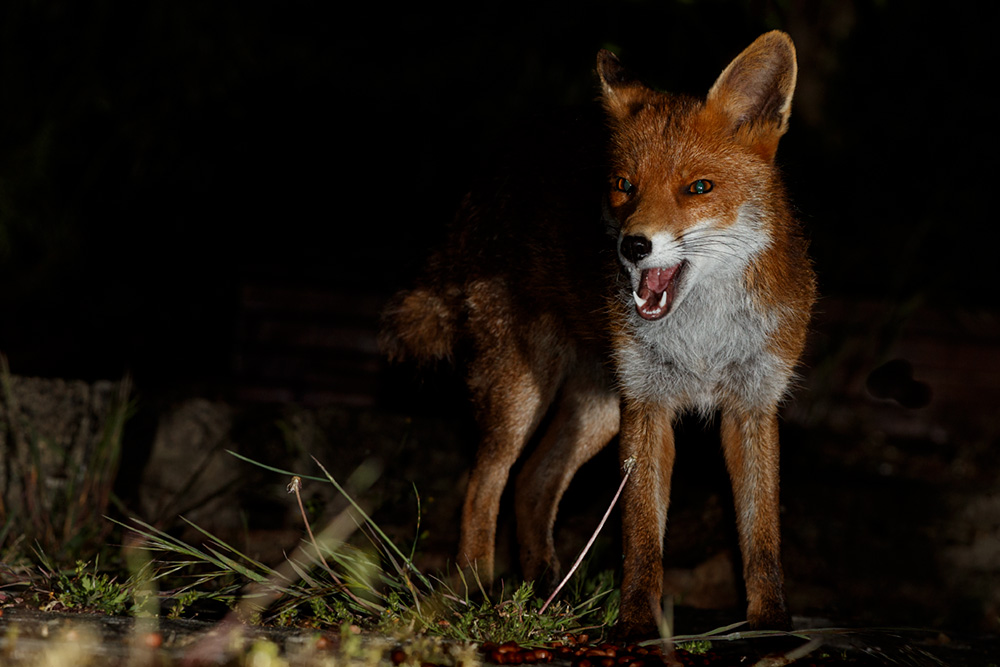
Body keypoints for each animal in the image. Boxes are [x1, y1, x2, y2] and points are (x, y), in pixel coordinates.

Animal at [380, 31, 815, 639]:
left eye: (698, 188)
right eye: (623, 186)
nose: (632, 246)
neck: (703, 340)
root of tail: (494, 174)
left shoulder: (752, 404)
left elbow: (760, 535)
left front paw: (770, 624)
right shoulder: (648, 405)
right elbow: (641, 534)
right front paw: (636, 623)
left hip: (598, 409)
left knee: (532, 482)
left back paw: (547, 594)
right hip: (521, 393)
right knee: (485, 482)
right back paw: (472, 594)